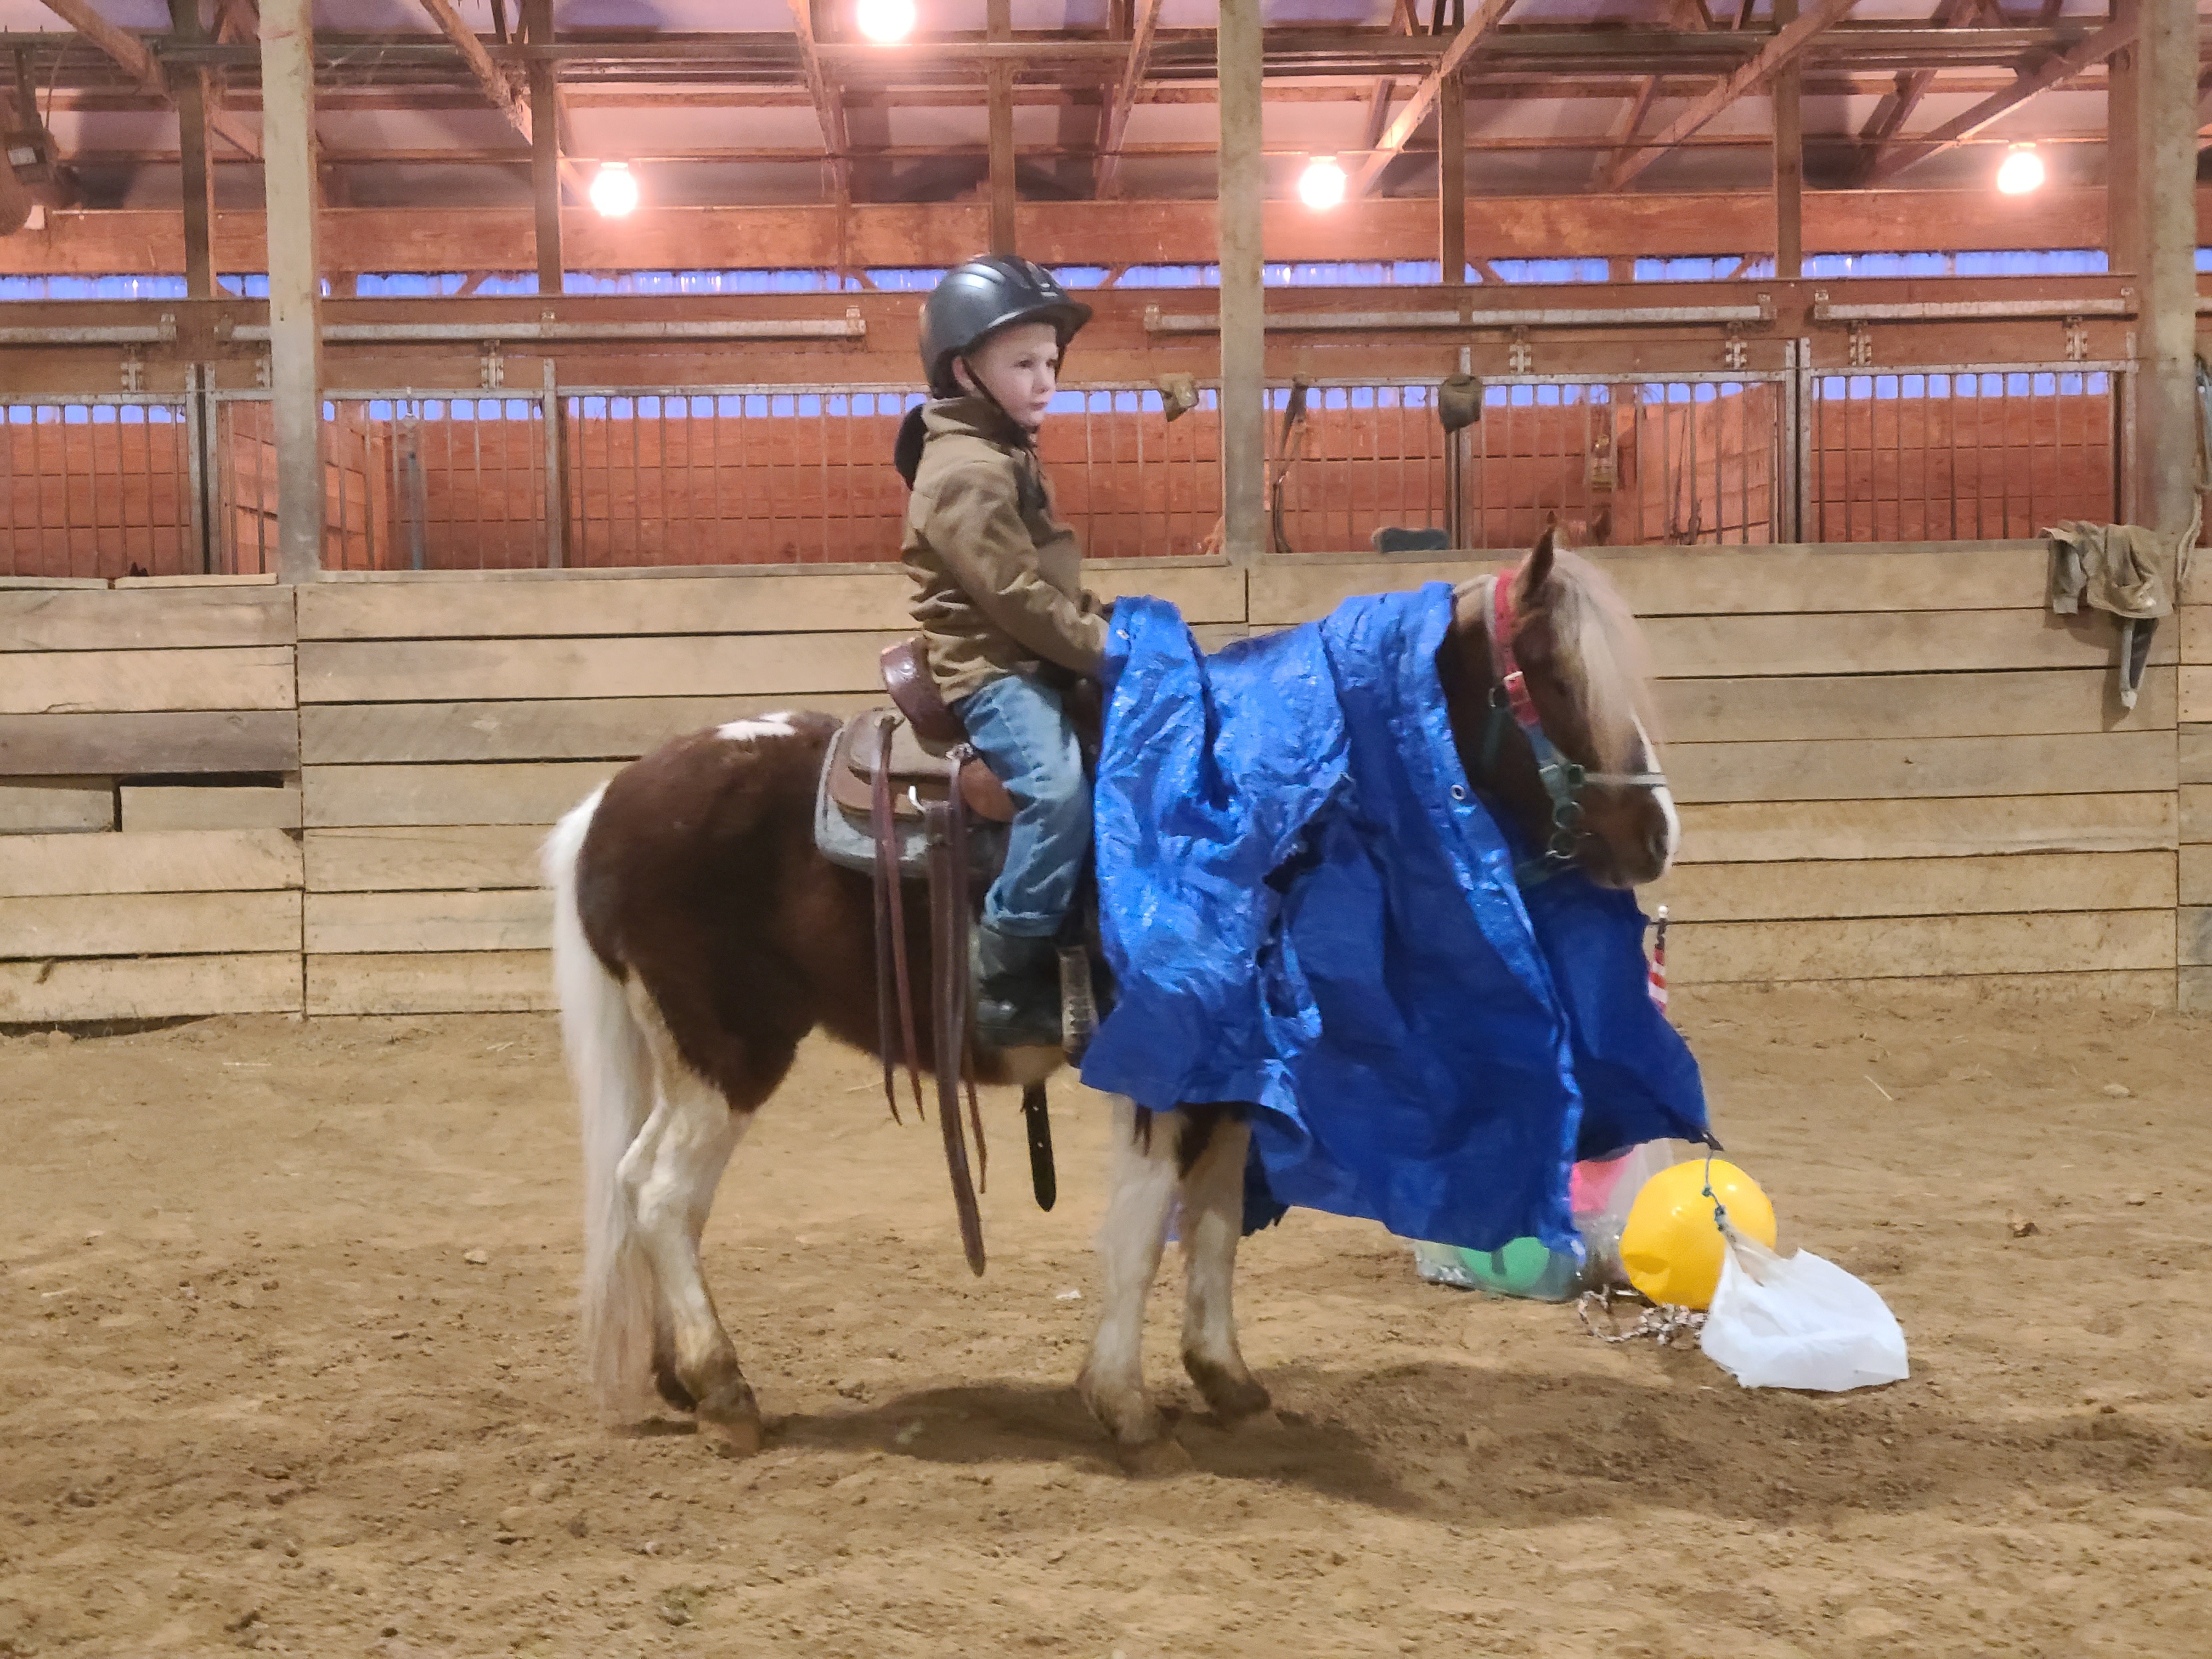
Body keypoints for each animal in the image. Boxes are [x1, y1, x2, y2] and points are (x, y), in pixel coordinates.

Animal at [541, 528, 1677, 1457]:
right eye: (1552, 675)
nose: (1658, 834)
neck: (1238, 812)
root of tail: (611, 801)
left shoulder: (1231, 1077)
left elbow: (1211, 1225)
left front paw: (1228, 1381)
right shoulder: (1157, 1073)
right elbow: (1140, 1232)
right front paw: (1122, 1401)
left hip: (680, 1055)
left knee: (639, 1188)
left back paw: (679, 1377)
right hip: (729, 1051)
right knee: (661, 1193)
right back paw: (726, 1387)